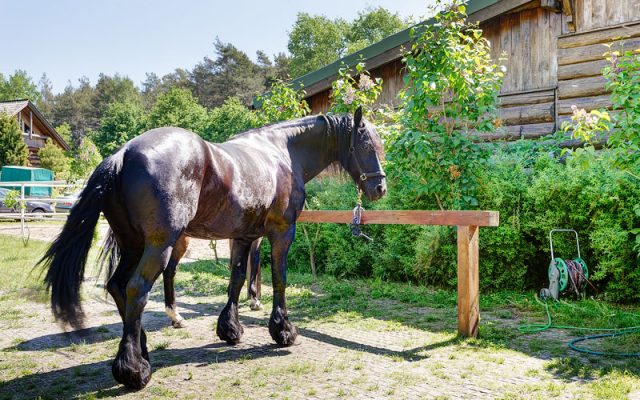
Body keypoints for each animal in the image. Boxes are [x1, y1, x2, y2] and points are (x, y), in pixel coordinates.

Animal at [42, 108, 388, 390]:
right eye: (367, 145)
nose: (380, 188)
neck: (282, 153)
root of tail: (123, 154)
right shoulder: (281, 232)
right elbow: (280, 279)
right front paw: (283, 331)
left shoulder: (244, 237)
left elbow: (236, 279)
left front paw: (230, 330)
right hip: (160, 245)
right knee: (136, 289)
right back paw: (134, 369)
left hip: (133, 245)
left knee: (117, 285)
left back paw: (143, 351)